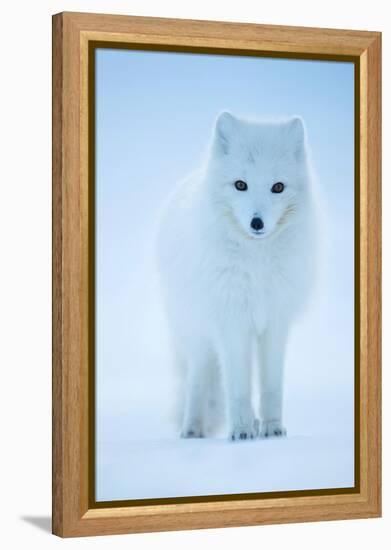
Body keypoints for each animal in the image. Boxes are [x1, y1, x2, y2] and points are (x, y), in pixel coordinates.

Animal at [155, 113, 316, 444]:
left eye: (277, 187)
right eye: (241, 185)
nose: (257, 222)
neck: (256, 263)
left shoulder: (275, 323)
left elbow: (270, 387)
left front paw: (272, 429)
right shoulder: (231, 324)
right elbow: (238, 389)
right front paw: (241, 431)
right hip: (198, 335)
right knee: (198, 380)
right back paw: (192, 430)